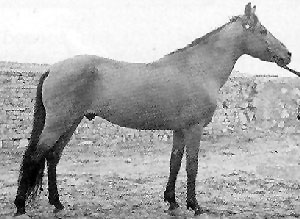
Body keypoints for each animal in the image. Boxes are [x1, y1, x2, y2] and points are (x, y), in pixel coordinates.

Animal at [14, 2, 292, 216]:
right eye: (263, 30)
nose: (288, 54)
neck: (198, 69)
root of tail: (53, 68)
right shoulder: (194, 129)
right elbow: (192, 166)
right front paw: (195, 205)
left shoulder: (180, 130)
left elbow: (174, 162)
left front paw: (172, 201)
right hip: (58, 123)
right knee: (34, 156)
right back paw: (20, 206)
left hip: (71, 122)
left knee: (52, 156)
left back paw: (57, 203)